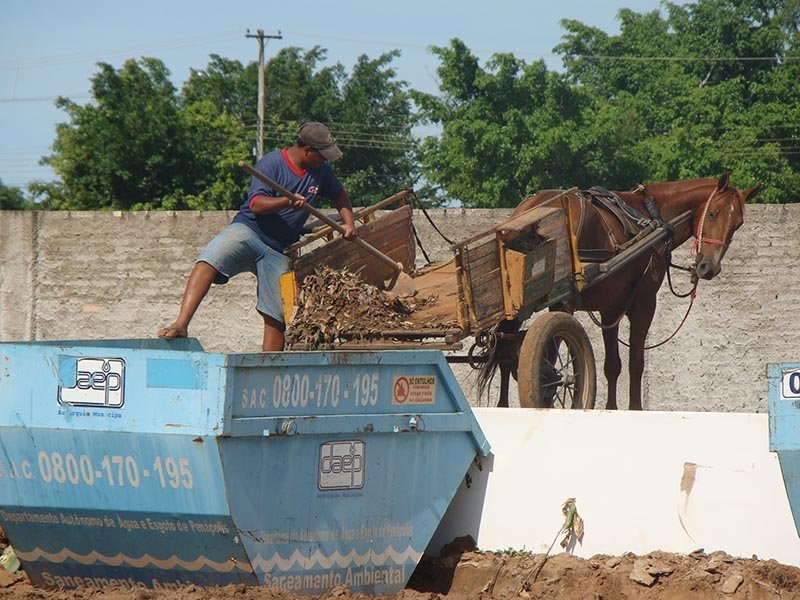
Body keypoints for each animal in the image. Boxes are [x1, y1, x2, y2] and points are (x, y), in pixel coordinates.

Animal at [482, 171, 764, 410]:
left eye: (738, 223)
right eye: (713, 213)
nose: (709, 267)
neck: (652, 214)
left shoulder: (611, 309)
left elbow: (613, 365)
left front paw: (611, 409)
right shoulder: (643, 304)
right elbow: (635, 362)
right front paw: (635, 409)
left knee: (504, 349)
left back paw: (503, 405)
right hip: (562, 303)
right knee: (541, 355)